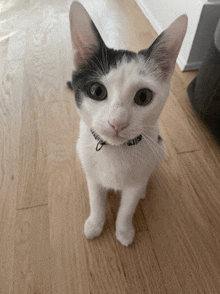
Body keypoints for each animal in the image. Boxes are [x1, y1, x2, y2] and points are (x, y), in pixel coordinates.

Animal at [67, 1, 187, 246]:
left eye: (143, 96)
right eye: (97, 91)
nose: (117, 122)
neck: (115, 151)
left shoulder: (134, 182)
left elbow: (127, 209)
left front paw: (123, 231)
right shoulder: (92, 177)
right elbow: (96, 201)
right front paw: (95, 223)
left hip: (159, 149)